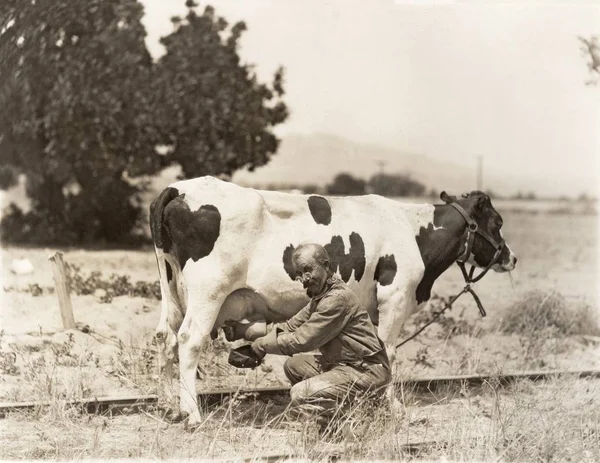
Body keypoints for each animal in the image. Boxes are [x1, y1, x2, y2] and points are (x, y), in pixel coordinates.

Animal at [149, 178, 516, 428]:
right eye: (498, 223)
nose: (511, 258)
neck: (412, 231)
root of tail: (178, 188)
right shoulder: (395, 297)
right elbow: (390, 351)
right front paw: (394, 407)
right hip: (208, 292)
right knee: (189, 341)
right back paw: (192, 414)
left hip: (171, 290)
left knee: (165, 337)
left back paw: (170, 406)